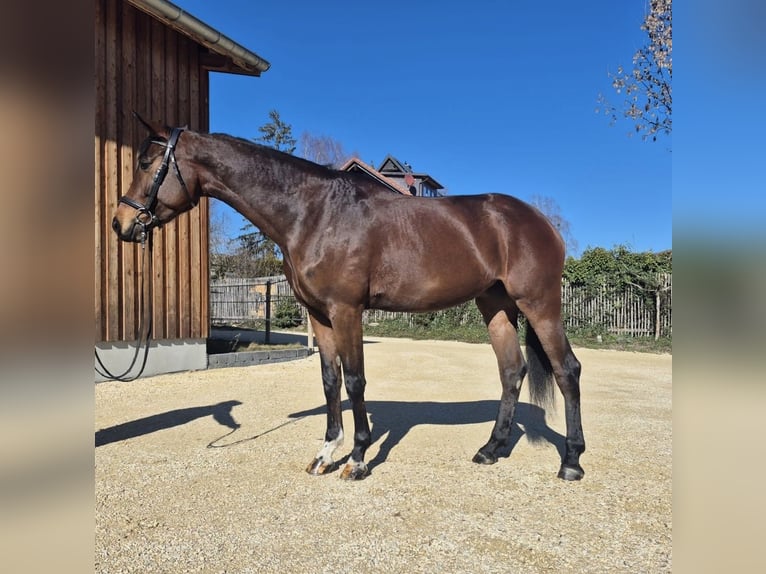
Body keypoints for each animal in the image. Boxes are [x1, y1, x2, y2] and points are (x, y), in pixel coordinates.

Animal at [112, 115, 585, 481]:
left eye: (146, 163)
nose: (121, 224)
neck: (314, 213)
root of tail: (539, 220)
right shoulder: (319, 315)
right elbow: (330, 380)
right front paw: (325, 454)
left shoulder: (346, 310)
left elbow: (356, 379)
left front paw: (357, 459)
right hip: (496, 306)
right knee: (512, 370)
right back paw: (490, 450)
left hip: (539, 304)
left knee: (567, 370)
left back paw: (571, 462)